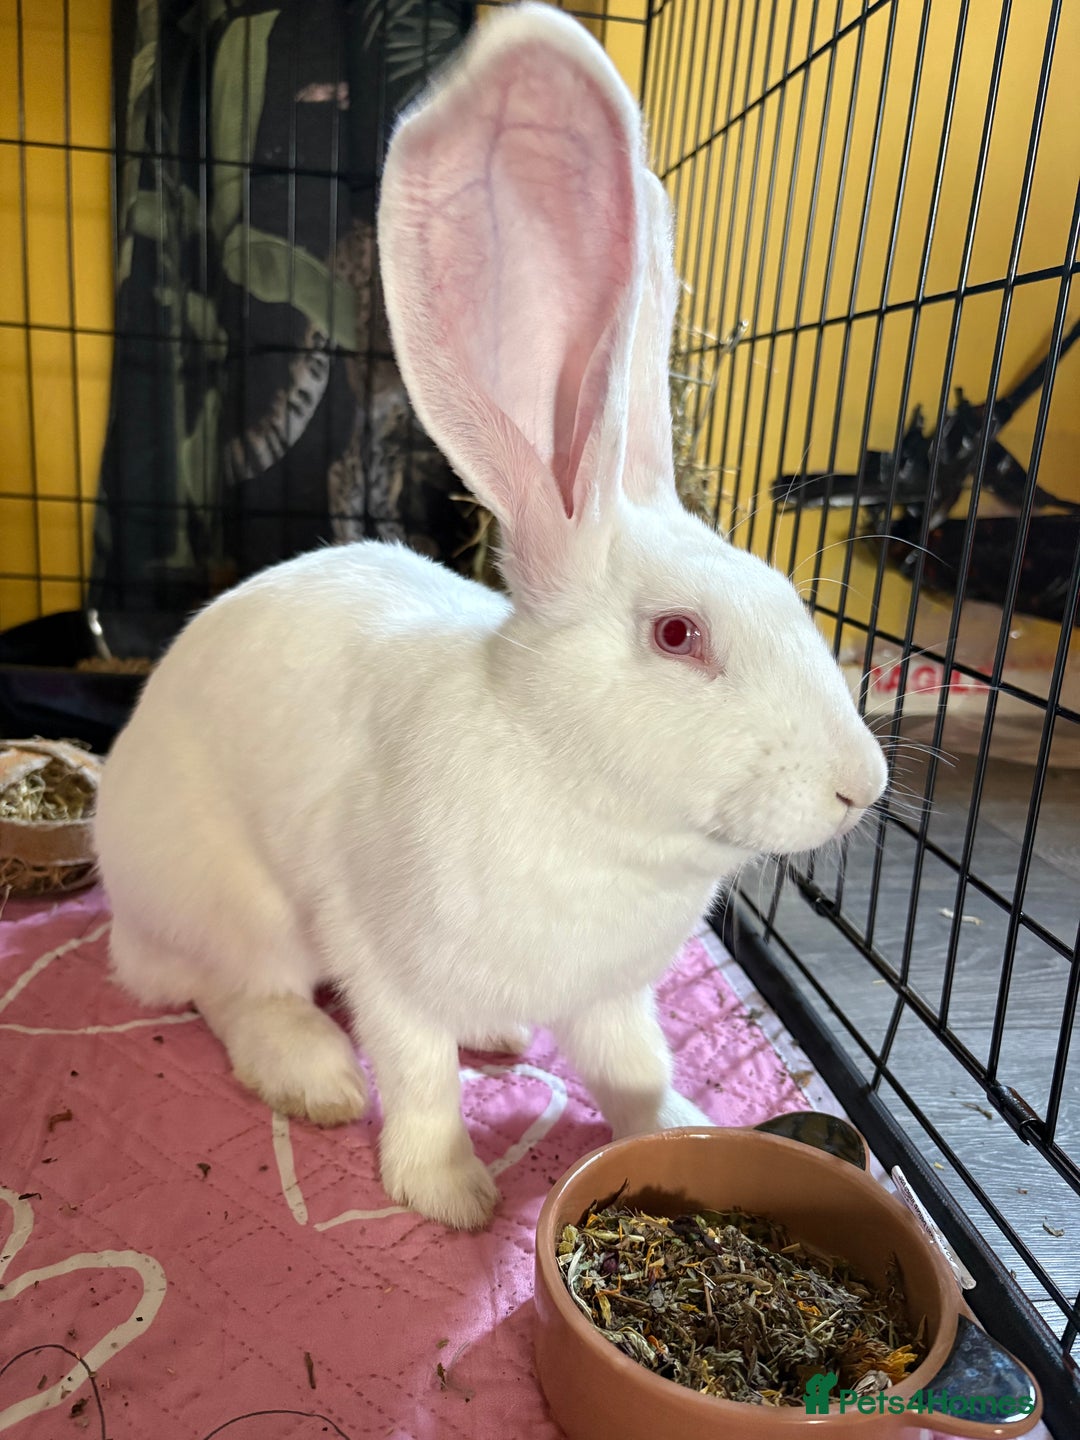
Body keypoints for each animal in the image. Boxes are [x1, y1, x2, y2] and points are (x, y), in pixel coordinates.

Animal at [93, 2, 888, 1231]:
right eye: (678, 636)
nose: (864, 786)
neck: (578, 797)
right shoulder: (389, 962)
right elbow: (419, 1075)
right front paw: (448, 1194)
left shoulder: (612, 996)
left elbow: (634, 1067)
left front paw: (677, 1129)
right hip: (234, 904)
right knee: (228, 991)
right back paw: (312, 1071)